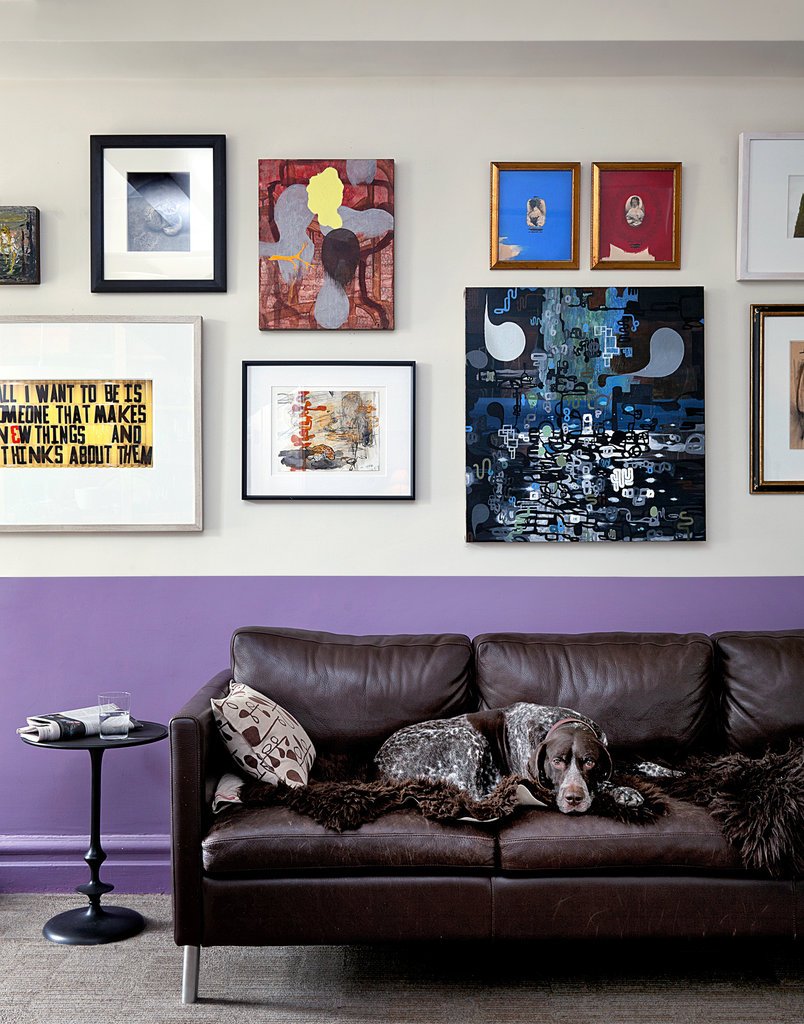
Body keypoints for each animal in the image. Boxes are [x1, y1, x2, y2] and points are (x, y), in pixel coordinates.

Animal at [375, 702, 642, 814]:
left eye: (589, 762)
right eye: (556, 761)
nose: (574, 799)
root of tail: (380, 763)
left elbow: (634, 764)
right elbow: (604, 782)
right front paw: (625, 791)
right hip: (466, 737)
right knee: (474, 797)